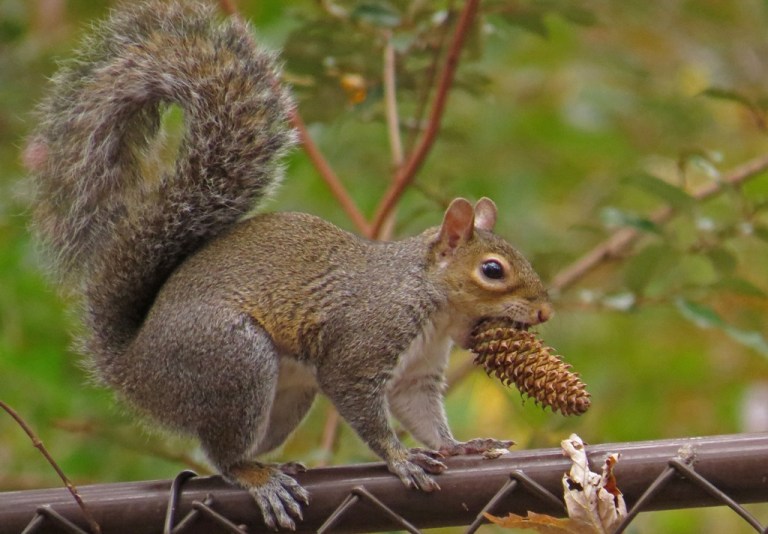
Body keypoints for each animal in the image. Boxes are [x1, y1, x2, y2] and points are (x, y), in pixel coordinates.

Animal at [26, 0, 552, 530]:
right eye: (492, 270)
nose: (545, 312)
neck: (429, 298)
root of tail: (133, 366)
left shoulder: (417, 372)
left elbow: (421, 412)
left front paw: (459, 447)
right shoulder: (365, 340)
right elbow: (359, 401)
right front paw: (400, 458)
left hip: (284, 397)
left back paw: (275, 466)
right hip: (233, 360)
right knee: (223, 457)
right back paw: (260, 478)